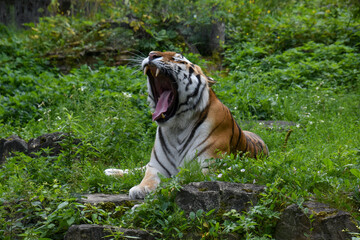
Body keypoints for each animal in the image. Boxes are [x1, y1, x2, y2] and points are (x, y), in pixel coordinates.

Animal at [104, 51, 268, 200]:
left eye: (178, 59)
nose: (151, 55)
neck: (176, 127)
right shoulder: (156, 166)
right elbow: (149, 177)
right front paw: (141, 188)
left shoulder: (207, 167)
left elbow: (182, 180)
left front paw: (164, 190)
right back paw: (110, 171)